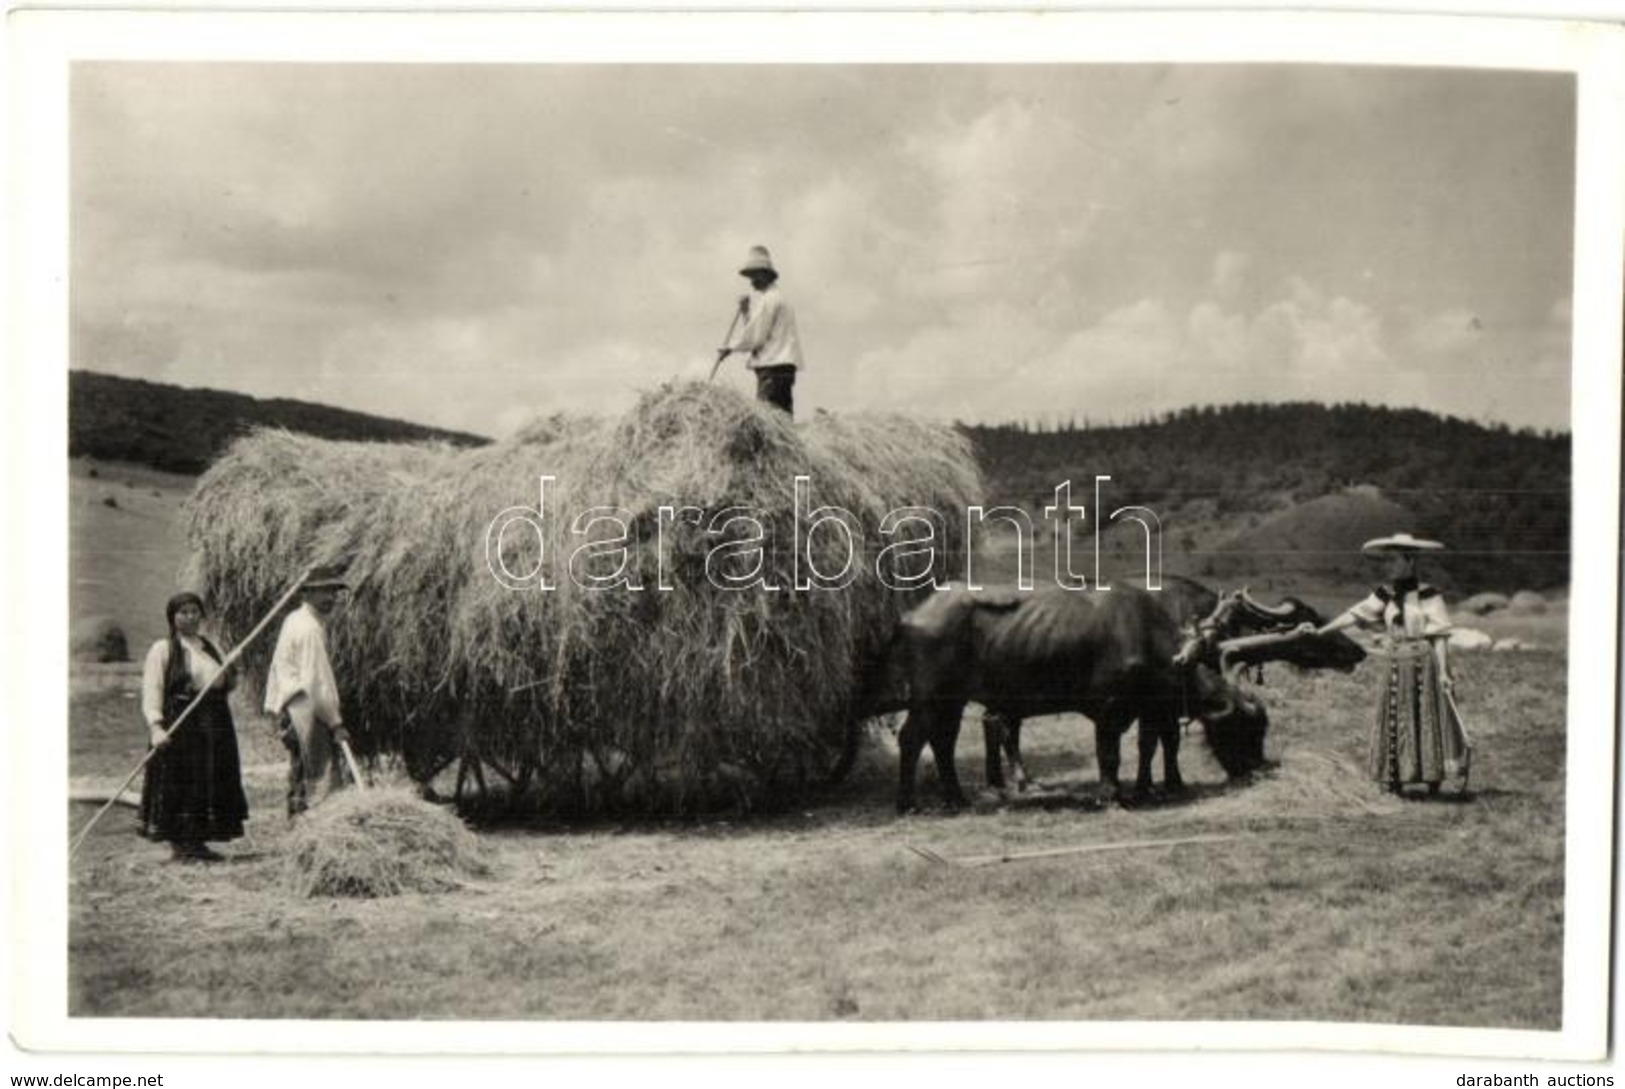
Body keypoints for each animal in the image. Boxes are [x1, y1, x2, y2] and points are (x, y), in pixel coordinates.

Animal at [877, 588, 1267, 809]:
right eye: (1244, 729)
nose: (1257, 770)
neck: (1144, 636)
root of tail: (911, 615)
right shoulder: (1109, 710)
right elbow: (1109, 755)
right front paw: (1111, 794)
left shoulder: (1146, 709)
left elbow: (1150, 744)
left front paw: (1146, 789)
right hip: (929, 698)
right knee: (912, 738)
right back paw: (907, 803)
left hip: (951, 702)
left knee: (942, 741)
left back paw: (956, 798)